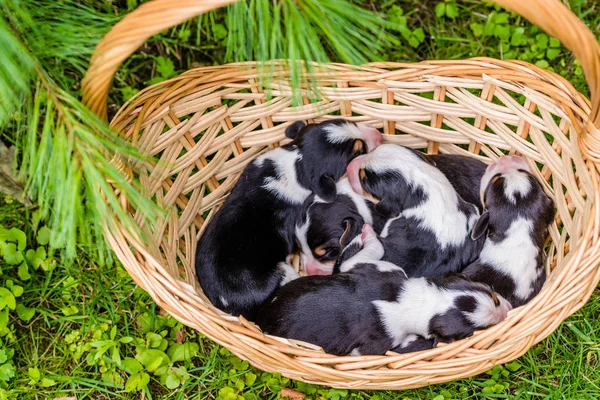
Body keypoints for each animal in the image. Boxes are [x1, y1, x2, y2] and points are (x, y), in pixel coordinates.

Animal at [195, 117, 382, 320]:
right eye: (358, 151)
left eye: (350, 121)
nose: (379, 134)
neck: (297, 163)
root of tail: (230, 309)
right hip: (283, 273)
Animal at [258, 225, 510, 356]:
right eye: (475, 331)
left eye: (494, 296)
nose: (507, 309)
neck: (418, 301)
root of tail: (262, 317)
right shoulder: (371, 348)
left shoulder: (372, 269)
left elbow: (372, 250)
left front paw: (367, 233)